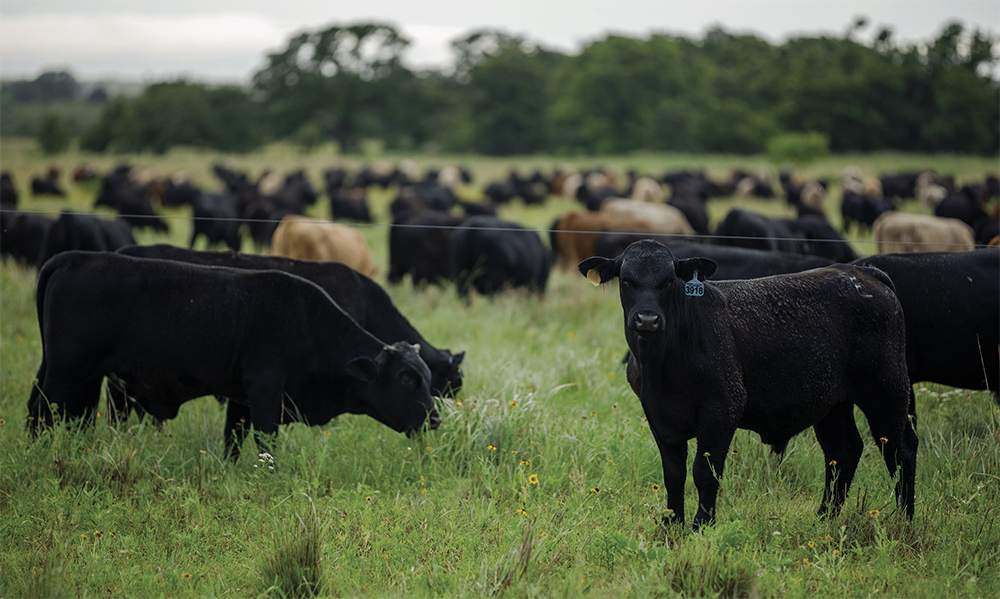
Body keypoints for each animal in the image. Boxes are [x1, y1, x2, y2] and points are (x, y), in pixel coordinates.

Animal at [27, 251, 441, 460]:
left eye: (428, 377)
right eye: (407, 378)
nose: (435, 418)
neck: (308, 325)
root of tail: (73, 257)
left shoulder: (241, 399)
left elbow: (234, 441)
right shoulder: (265, 390)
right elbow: (266, 441)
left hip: (72, 374)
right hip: (67, 374)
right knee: (43, 411)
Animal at [579, 240, 917, 528]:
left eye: (668, 281)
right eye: (626, 280)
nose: (647, 319)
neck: (661, 367)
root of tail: (863, 273)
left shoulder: (722, 408)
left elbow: (705, 472)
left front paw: (702, 525)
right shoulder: (659, 416)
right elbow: (673, 475)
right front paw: (672, 524)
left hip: (887, 389)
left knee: (900, 449)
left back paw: (905, 520)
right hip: (833, 404)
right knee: (842, 453)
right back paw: (823, 519)